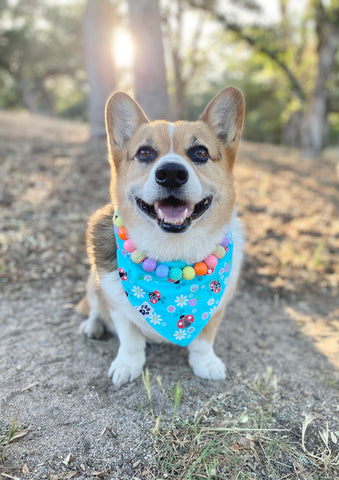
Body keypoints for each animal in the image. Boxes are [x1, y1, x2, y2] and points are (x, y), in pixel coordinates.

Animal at [78, 87, 246, 386]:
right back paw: (92, 325)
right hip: (92, 282)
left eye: (200, 152)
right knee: (95, 306)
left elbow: (205, 339)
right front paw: (127, 365)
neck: (173, 254)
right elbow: (130, 338)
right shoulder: (118, 305)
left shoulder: (217, 308)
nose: (170, 174)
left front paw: (205, 363)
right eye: (145, 153)